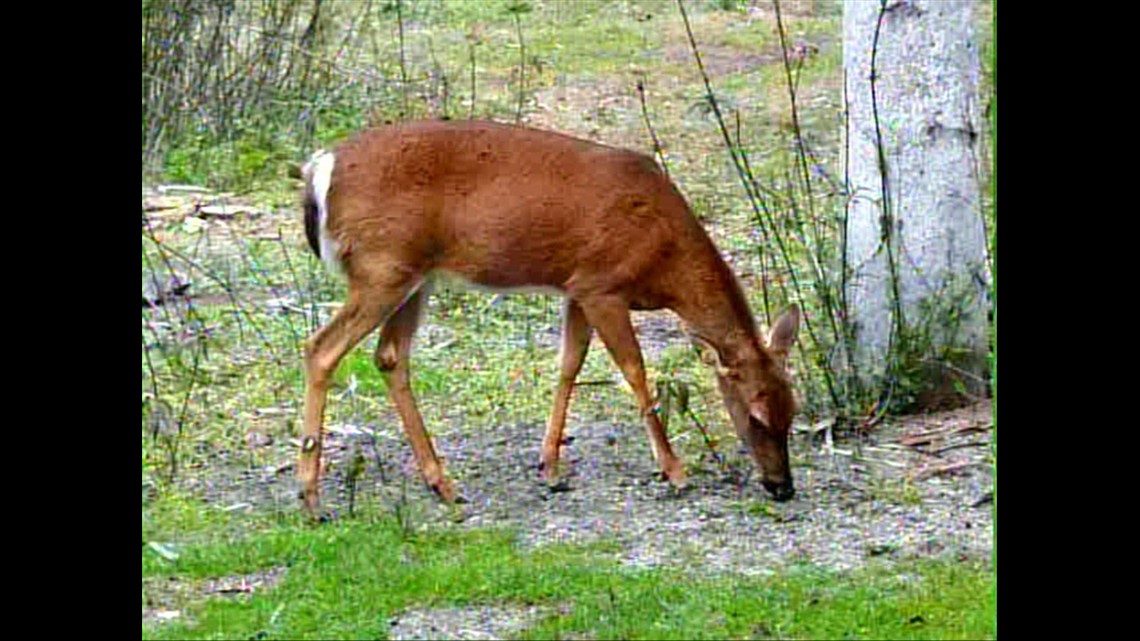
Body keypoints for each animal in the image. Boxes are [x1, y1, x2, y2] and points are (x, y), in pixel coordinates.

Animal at [298, 119, 807, 515]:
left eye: (793, 410)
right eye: (755, 416)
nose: (783, 487)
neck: (664, 259)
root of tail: (319, 167)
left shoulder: (576, 288)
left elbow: (569, 366)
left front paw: (551, 467)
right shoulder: (603, 285)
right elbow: (635, 371)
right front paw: (674, 471)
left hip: (413, 278)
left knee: (389, 357)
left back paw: (441, 483)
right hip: (382, 269)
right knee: (321, 348)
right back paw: (311, 497)